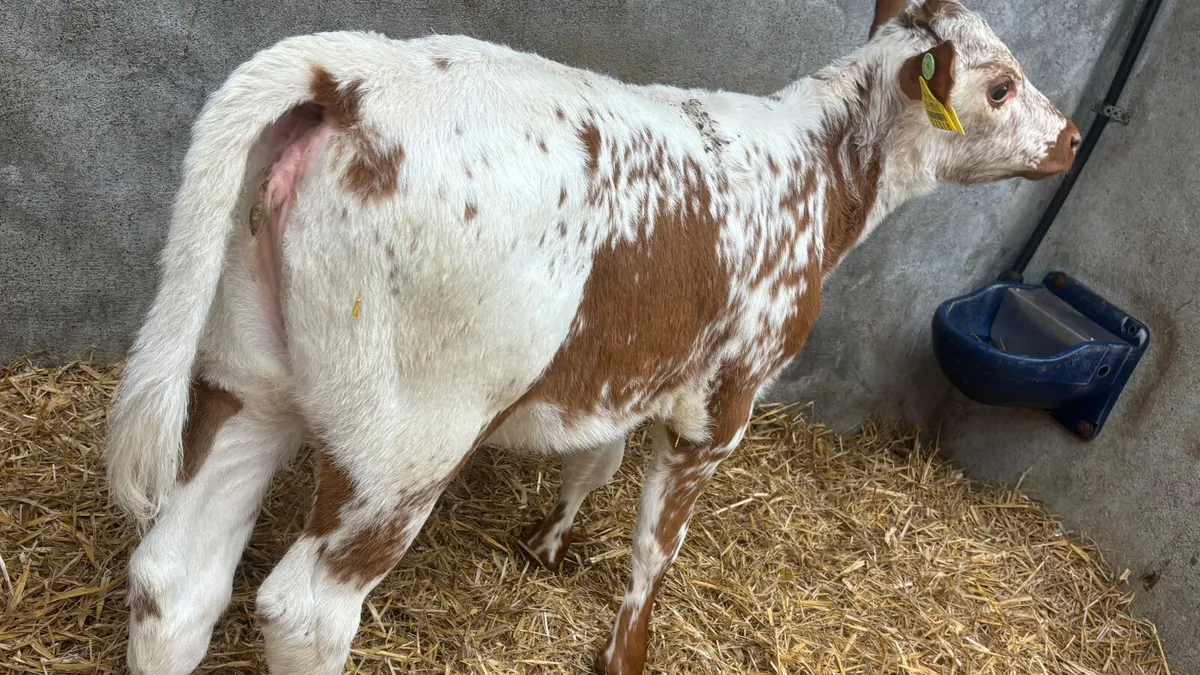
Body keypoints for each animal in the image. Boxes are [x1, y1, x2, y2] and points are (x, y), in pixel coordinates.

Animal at [105, 0, 1079, 672]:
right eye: (1001, 86)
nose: (1071, 137)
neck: (818, 172)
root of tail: (353, 71)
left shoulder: (629, 370)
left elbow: (596, 459)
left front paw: (548, 542)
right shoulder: (724, 399)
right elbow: (657, 542)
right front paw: (626, 652)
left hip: (245, 375)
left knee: (175, 582)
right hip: (402, 440)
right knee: (305, 610)